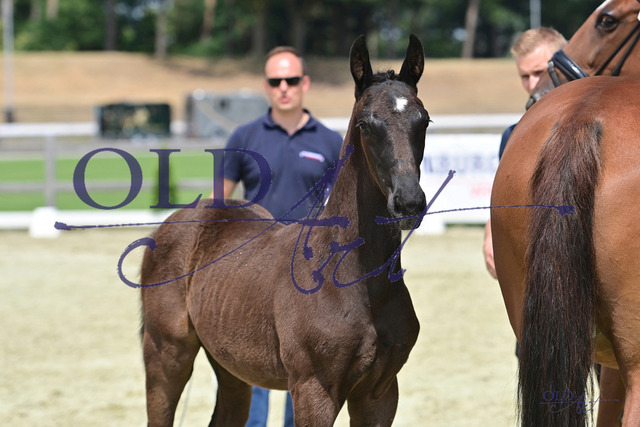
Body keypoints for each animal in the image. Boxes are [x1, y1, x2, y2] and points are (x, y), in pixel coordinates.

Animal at [138, 34, 429, 426]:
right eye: (366, 124)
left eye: (423, 120)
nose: (409, 202)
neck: (354, 278)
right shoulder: (314, 390)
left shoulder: (380, 393)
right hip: (166, 355)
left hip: (230, 364)